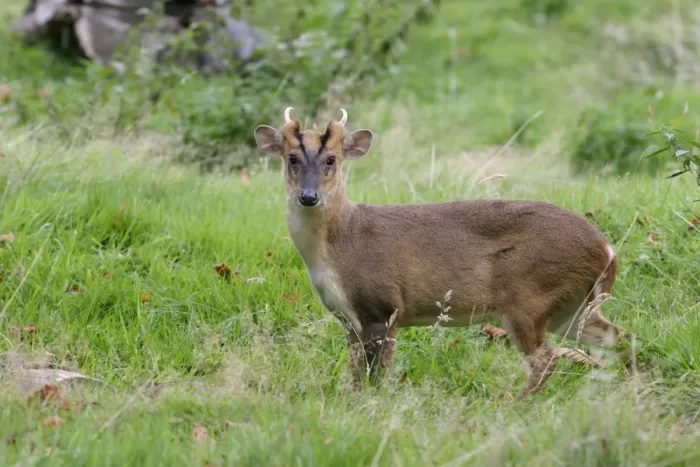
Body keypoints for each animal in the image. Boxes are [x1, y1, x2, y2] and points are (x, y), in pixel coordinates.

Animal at [253, 107, 628, 399]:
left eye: (331, 159)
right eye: (291, 158)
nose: (308, 196)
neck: (337, 248)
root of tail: (606, 248)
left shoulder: (382, 307)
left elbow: (376, 376)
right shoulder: (349, 319)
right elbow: (358, 374)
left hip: (530, 297)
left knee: (546, 361)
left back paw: (509, 401)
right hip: (573, 307)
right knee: (619, 336)